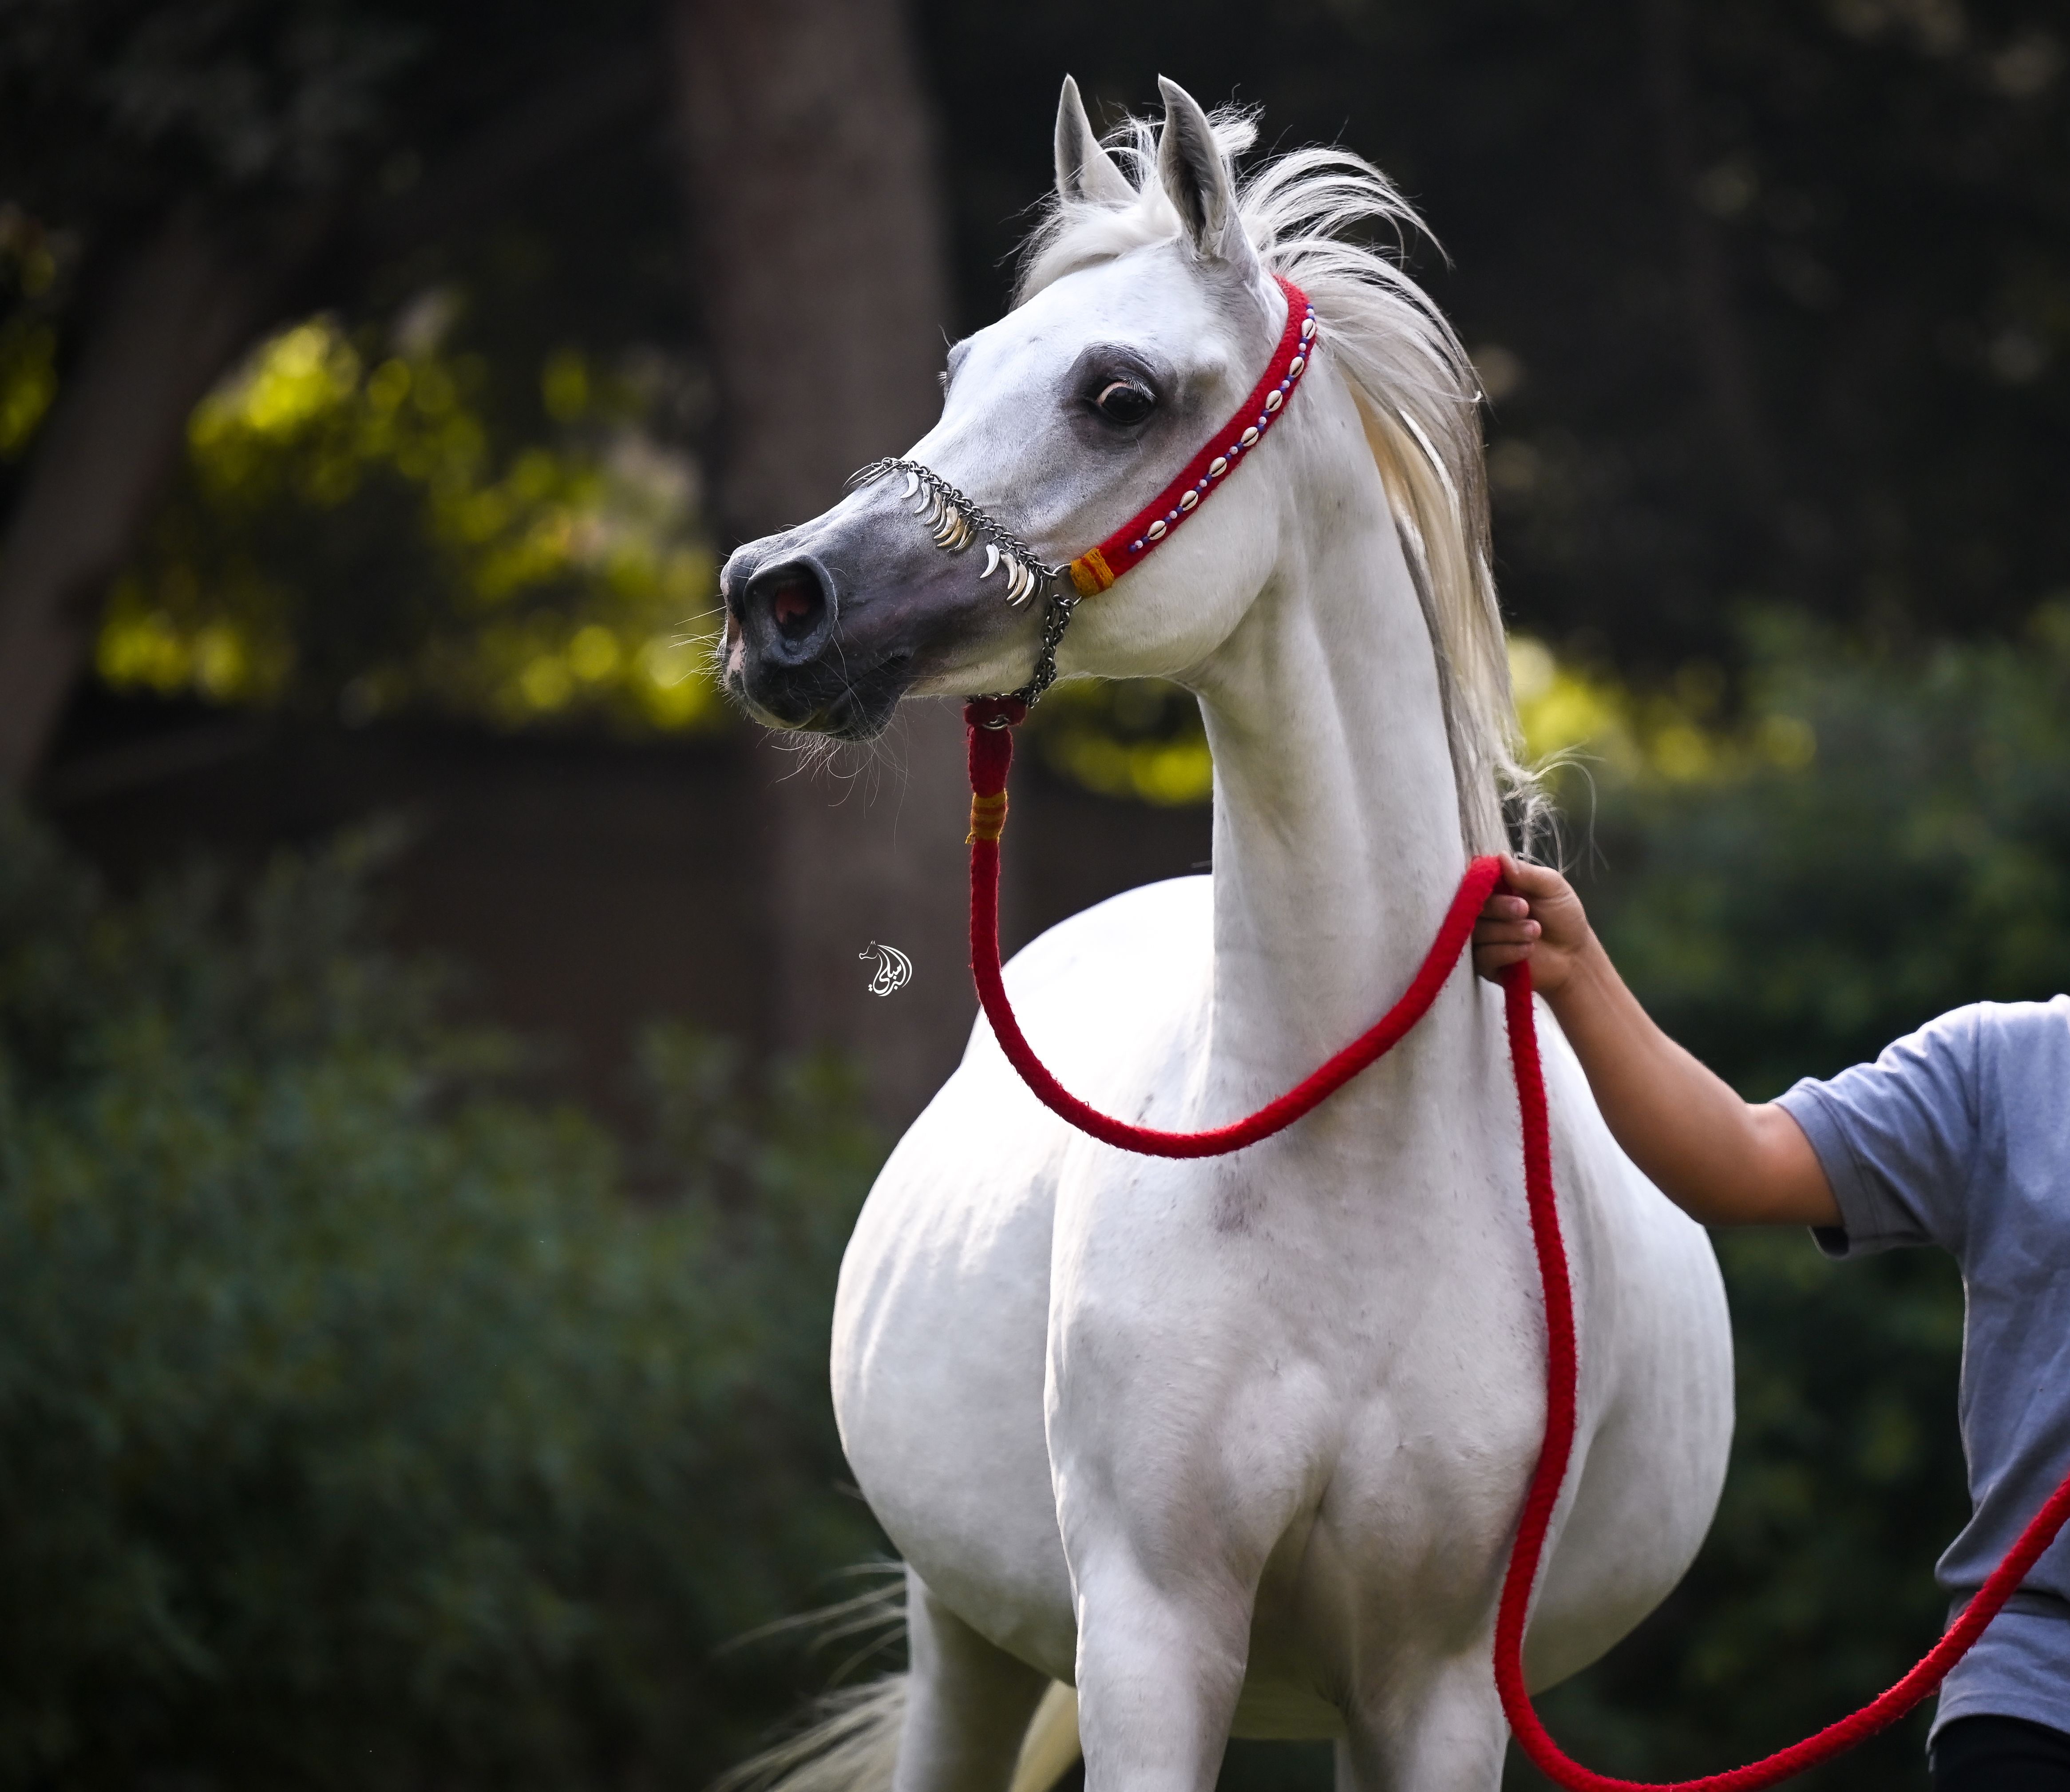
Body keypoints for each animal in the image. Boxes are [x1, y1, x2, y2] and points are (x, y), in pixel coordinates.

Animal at [716, 75, 1734, 1792]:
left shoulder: (1433, 1686)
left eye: (1118, 394)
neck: (1350, 1161)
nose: (773, 598)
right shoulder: (1149, 1640)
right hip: (966, 1632)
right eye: (961, 372)